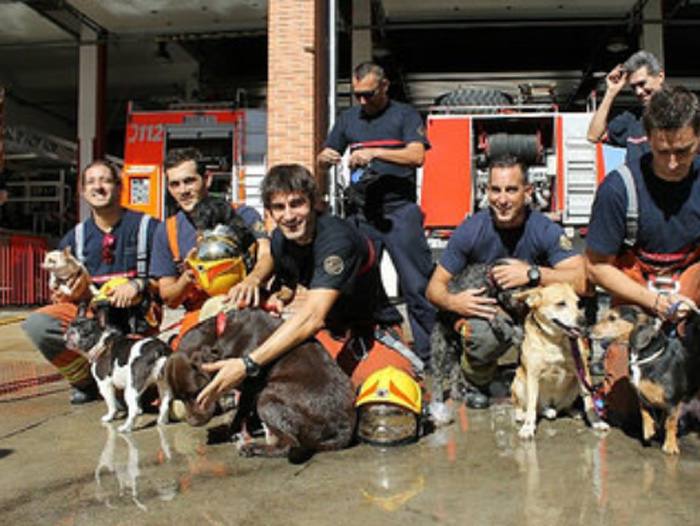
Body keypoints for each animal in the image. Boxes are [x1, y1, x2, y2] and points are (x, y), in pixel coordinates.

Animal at [64, 308, 174, 436]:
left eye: (85, 332)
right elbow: (135, 402)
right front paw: (140, 410)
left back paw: (125, 428)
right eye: (70, 325)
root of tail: (160, 350)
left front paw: (109, 417)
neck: (102, 343)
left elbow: (111, 404)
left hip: (131, 387)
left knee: (133, 409)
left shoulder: (104, 384)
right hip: (162, 383)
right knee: (165, 402)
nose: (70, 332)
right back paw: (162, 421)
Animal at [165, 310, 356, 462]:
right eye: (179, 398)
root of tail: (345, 429)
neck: (220, 335)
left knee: (291, 445)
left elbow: (241, 412)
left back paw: (254, 448)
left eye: (196, 392)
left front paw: (230, 431)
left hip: (267, 397)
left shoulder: (251, 385)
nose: (191, 422)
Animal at [508, 284, 608, 442]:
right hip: (518, 381)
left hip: (574, 385)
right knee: (524, 406)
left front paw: (596, 422)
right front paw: (528, 427)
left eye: (578, 304)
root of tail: (550, 405)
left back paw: (573, 411)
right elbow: (531, 405)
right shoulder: (532, 374)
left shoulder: (582, 370)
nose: (584, 322)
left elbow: (589, 400)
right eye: (561, 304)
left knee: (561, 407)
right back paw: (522, 416)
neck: (555, 340)